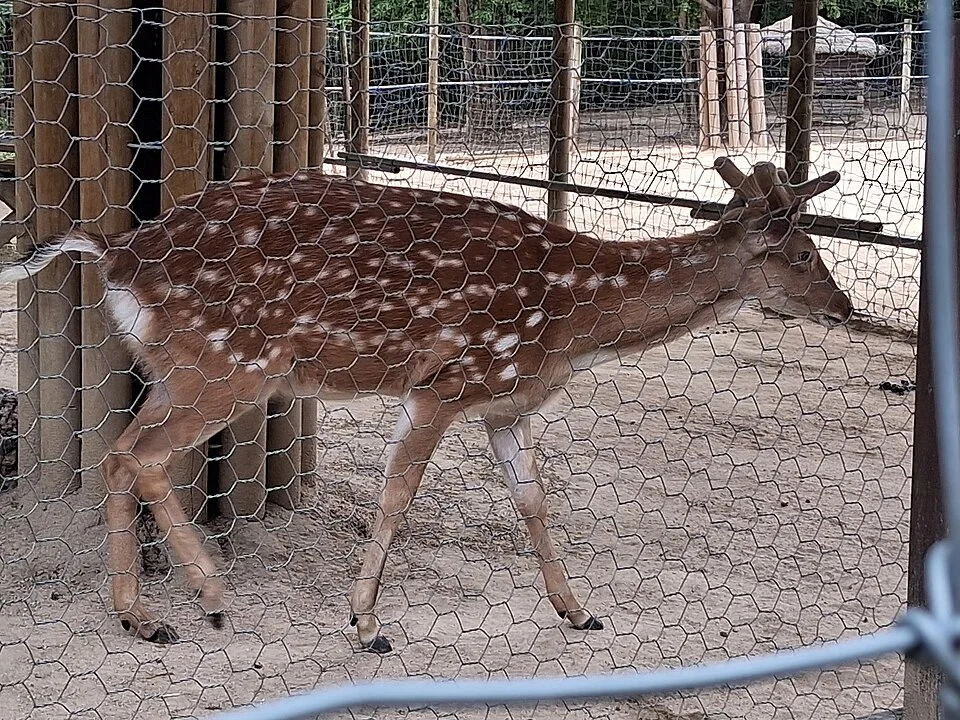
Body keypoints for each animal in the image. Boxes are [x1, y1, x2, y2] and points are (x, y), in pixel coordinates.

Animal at [0, 156, 854, 654]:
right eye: (804, 252)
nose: (844, 307)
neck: (574, 324)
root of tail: (117, 253)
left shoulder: (507, 401)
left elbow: (533, 500)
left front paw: (578, 610)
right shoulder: (447, 380)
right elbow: (397, 496)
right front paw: (366, 625)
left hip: (184, 368)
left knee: (118, 455)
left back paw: (141, 616)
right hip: (227, 366)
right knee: (137, 453)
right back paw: (209, 598)